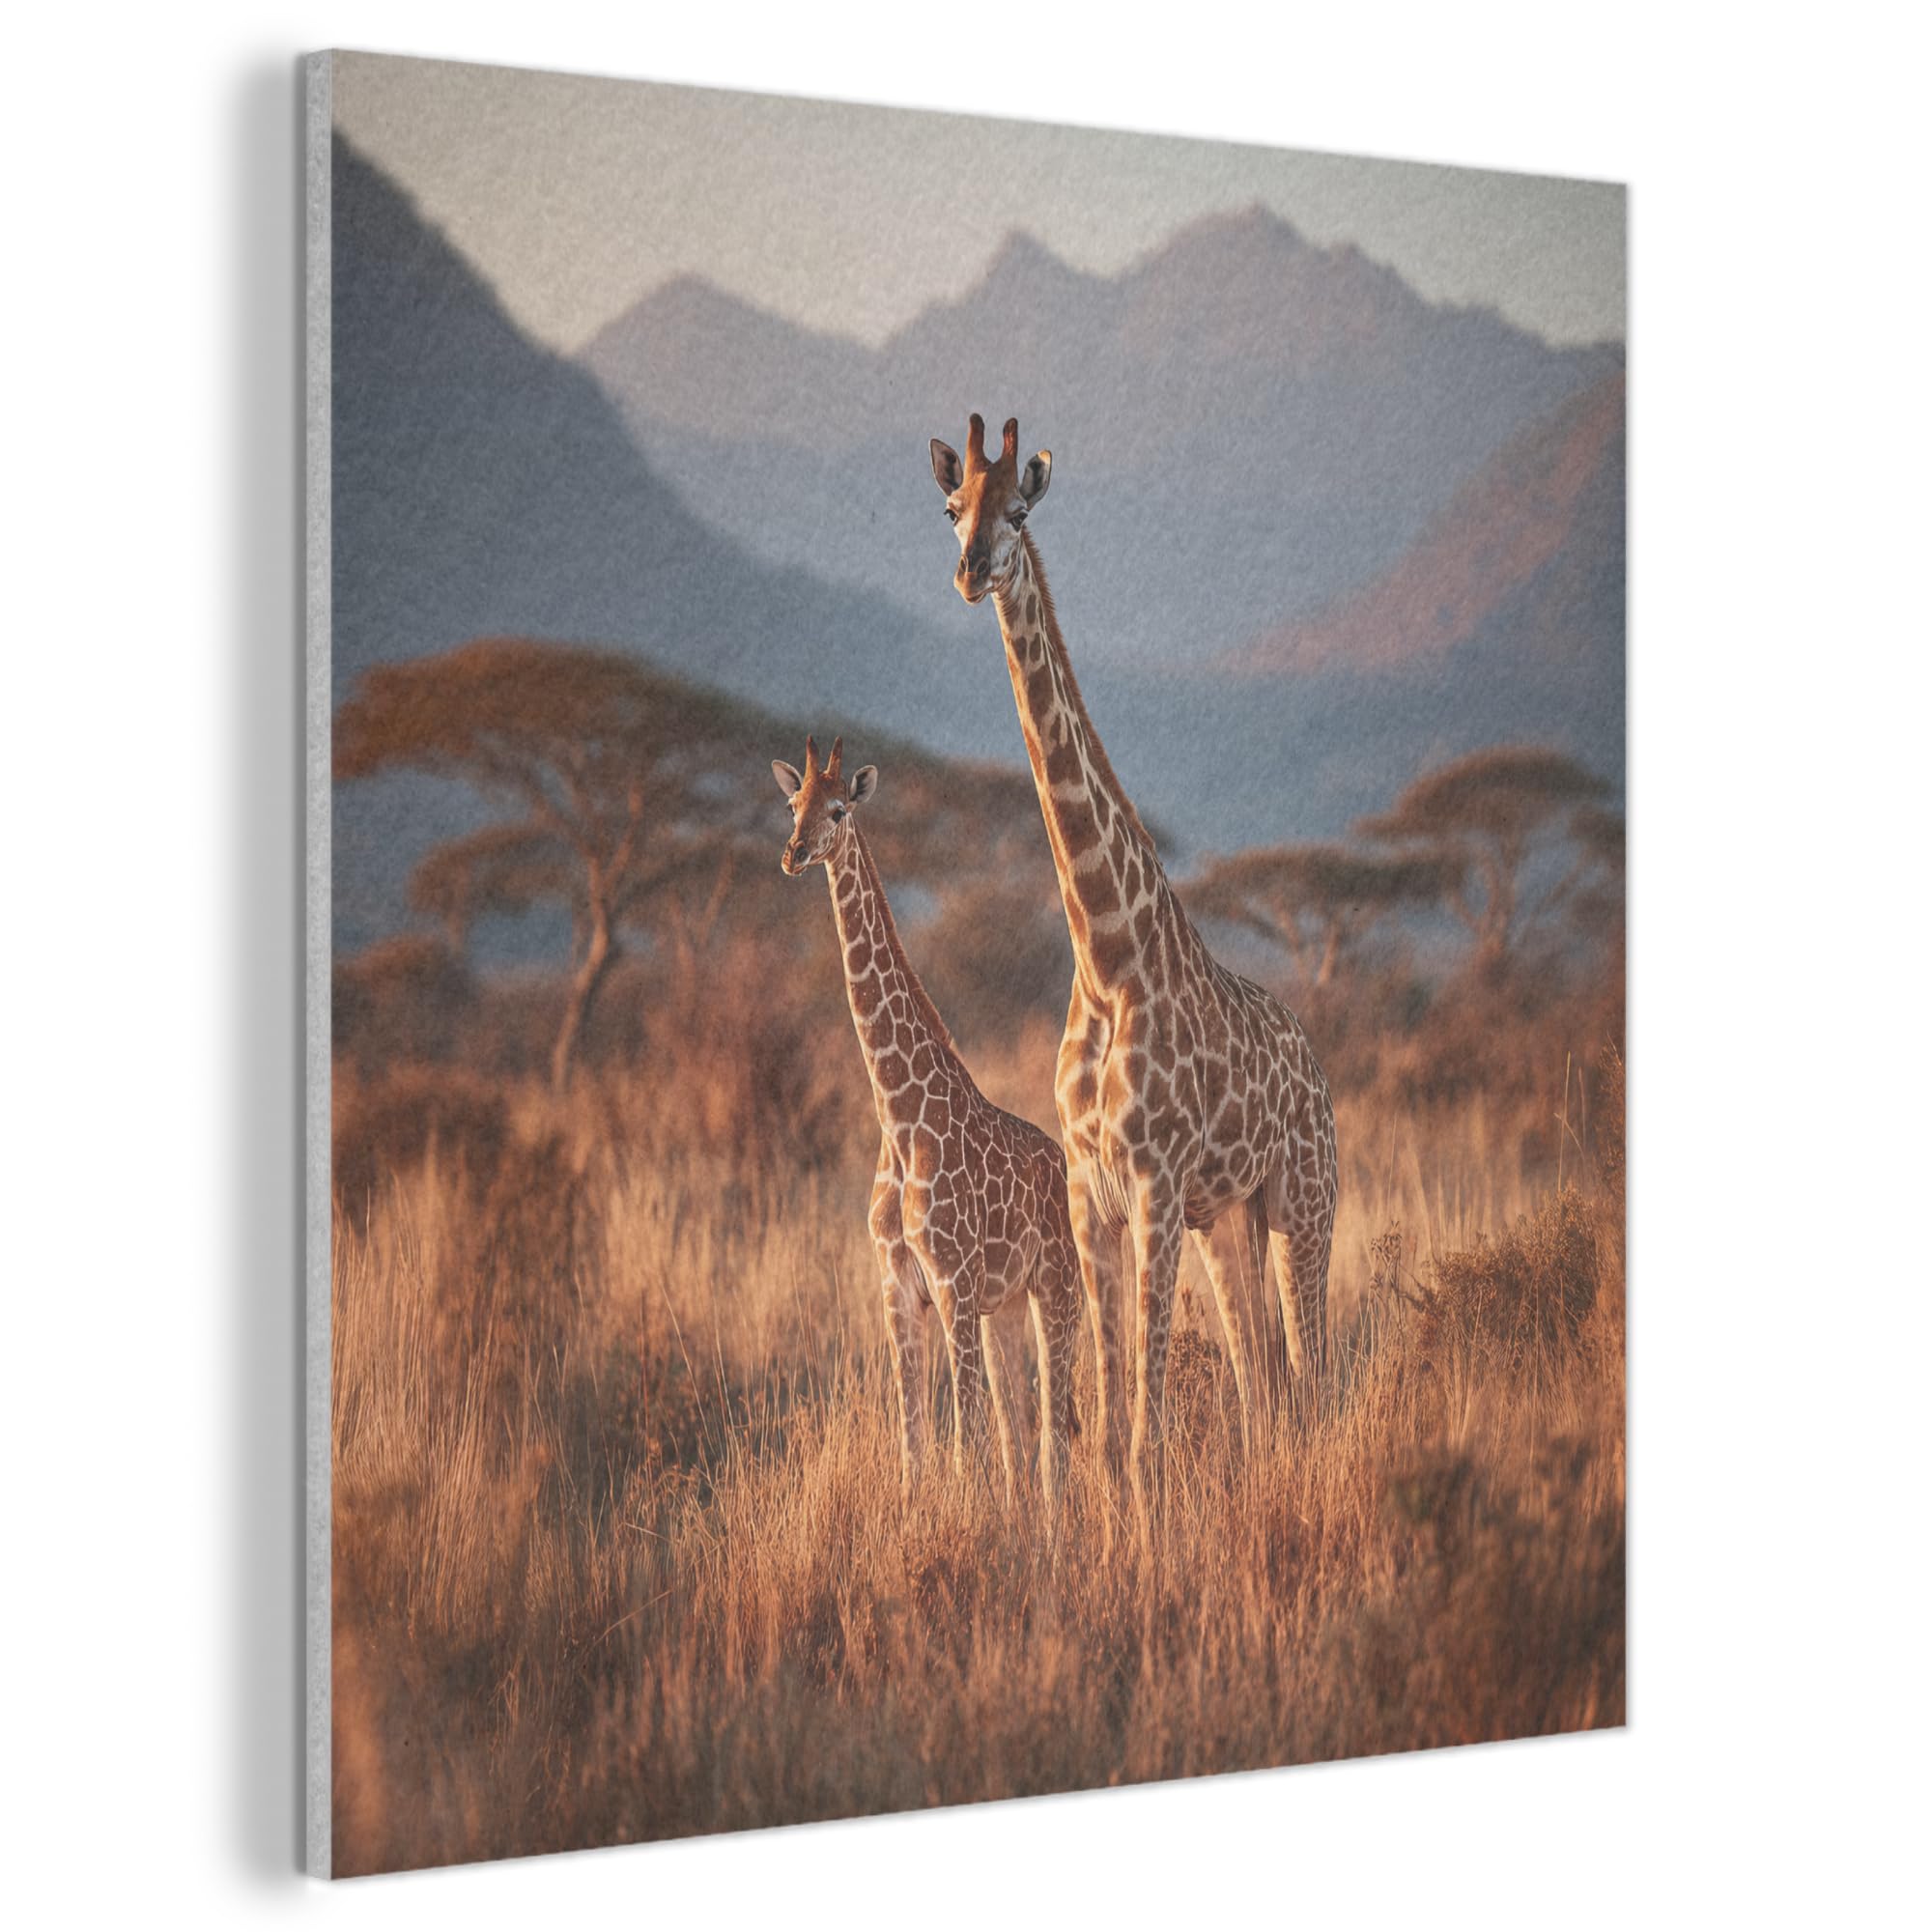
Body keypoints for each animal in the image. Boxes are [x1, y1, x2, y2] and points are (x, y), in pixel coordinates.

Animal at [771, 735, 1083, 1518]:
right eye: (792, 805)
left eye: (840, 809)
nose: (794, 853)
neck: (899, 1117)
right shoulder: (898, 1288)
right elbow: (917, 1443)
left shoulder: (952, 1284)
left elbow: (964, 1443)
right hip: (1005, 1307)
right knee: (1019, 1428)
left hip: (1056, 1290)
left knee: (1056, 1432)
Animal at [928, 414, 1339, 1532]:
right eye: (952, 506)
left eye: (1018, 511)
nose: (970, 569)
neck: (1106, 954)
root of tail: (1317, 1065)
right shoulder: (1094, 1198)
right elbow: (1107, 1430)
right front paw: (1112, 1549)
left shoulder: (1154, 1186)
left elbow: (1143, 1429)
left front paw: (1146, 1555)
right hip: (1226, 1220)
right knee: (1261, 1386)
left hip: (1302, 1203)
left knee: (1310, 1374)